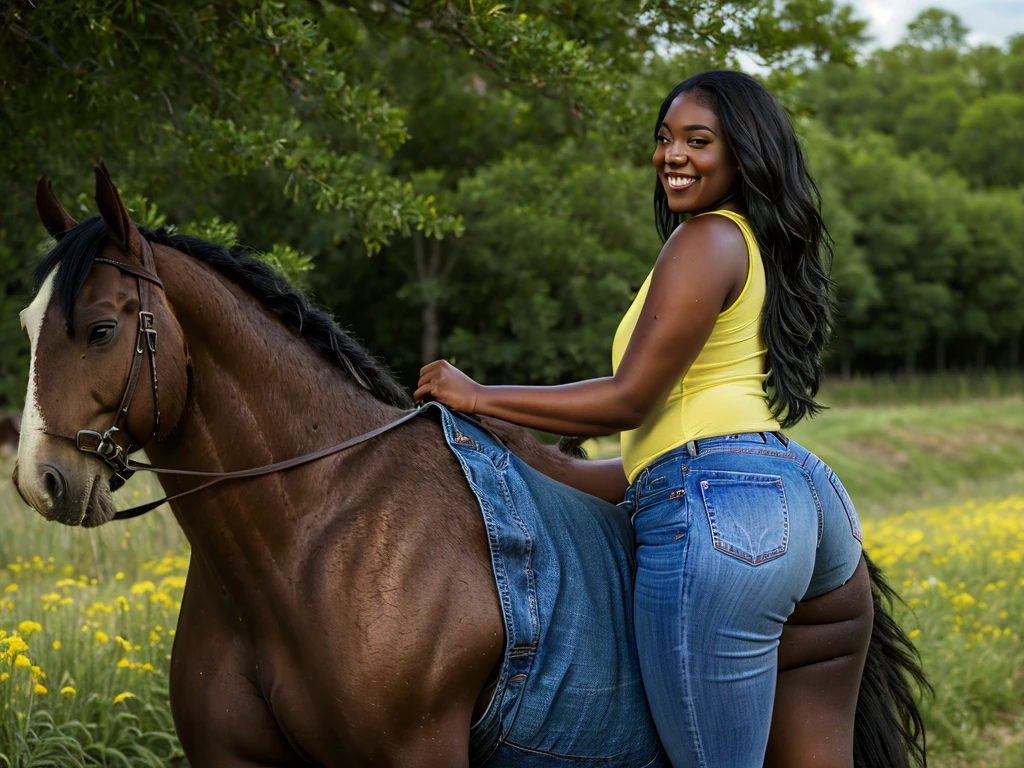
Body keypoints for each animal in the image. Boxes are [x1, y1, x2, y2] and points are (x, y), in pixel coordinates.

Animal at [14, 165, 929, 765]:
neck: (307, 539)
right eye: (28, 325)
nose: (39, 480)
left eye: (100, 328)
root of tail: (825, 514)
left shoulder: (416, 753)